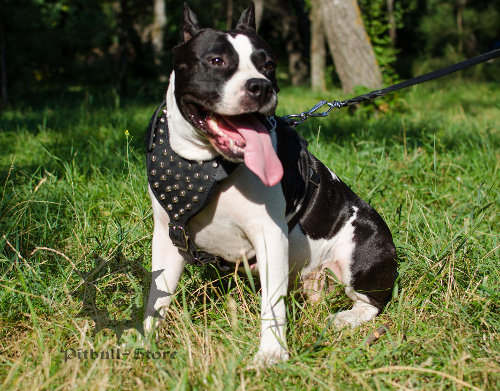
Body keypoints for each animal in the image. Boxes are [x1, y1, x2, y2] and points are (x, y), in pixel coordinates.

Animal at [145, 2, 398, 368]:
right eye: (216, 60)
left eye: (269, 65)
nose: (261, 86)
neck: (206, 165)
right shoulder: (167, 236)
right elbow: (157, 295)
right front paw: (142, 342)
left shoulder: (269, 235)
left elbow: (273, 308)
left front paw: (271, 354)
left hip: (364, 246)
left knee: (372, 302)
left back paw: (347, 317)